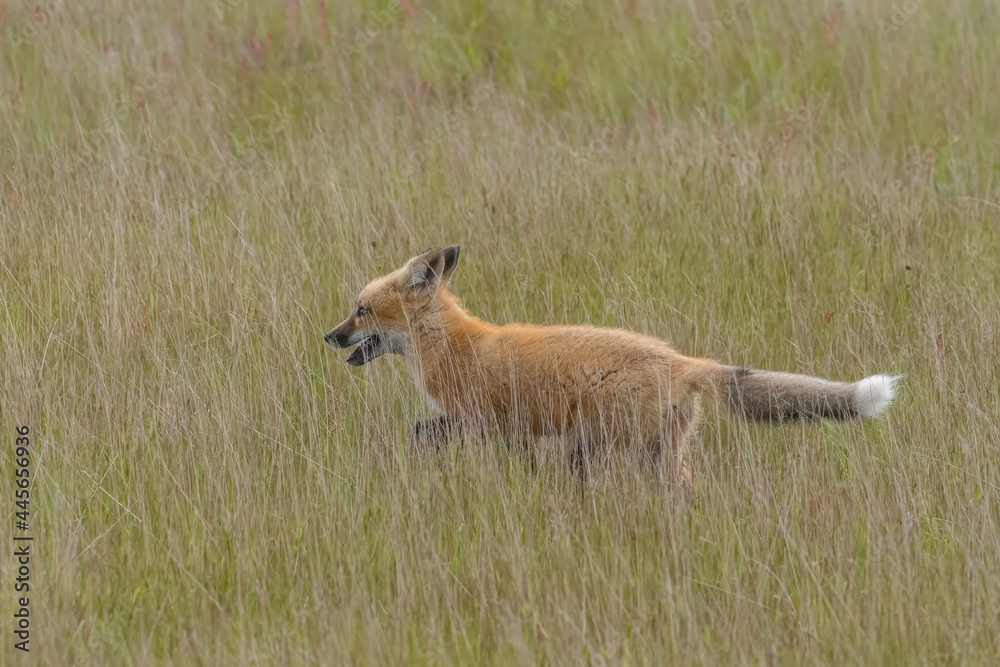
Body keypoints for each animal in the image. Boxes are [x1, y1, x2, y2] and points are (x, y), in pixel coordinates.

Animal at [325, 245, 898, 483]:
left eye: (361, 310)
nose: (329, 336)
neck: (454, 344)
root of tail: (679, 359)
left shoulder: (486, 422)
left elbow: (424, 433)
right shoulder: (496, 428)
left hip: (599, 447)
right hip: (658, 456)